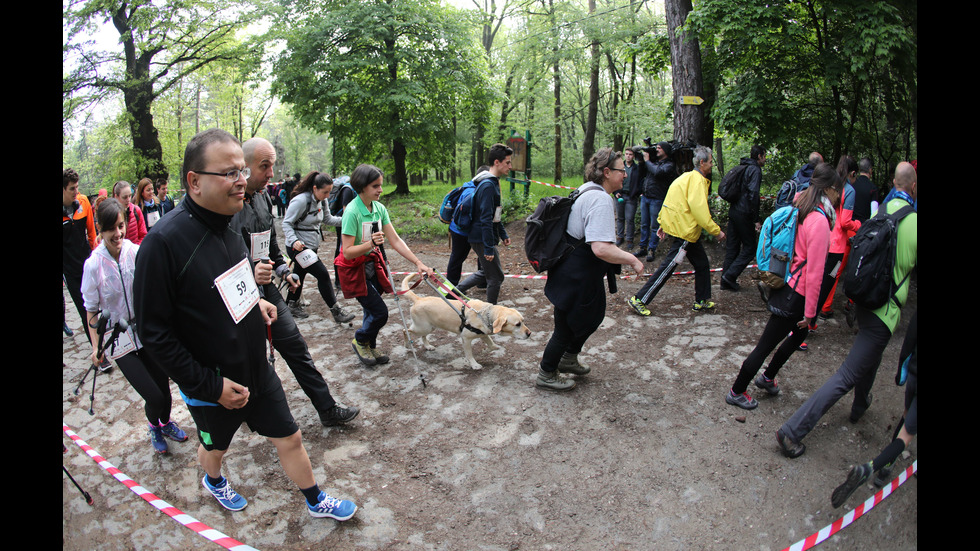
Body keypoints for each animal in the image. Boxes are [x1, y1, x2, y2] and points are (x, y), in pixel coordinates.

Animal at [400, 272, 532, 370]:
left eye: (523, 321)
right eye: (517, 324)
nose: (529, 333)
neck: (485, 314)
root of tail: (418, 299)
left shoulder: (483, 334)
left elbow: (492, 345)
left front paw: (486, 350)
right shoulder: (466, 339)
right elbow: (469, 354)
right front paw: (474, 364)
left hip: (430, 327)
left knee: (422, 336)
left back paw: (428, 346)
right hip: (422, 327)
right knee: (405, 330)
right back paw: (407, 344)